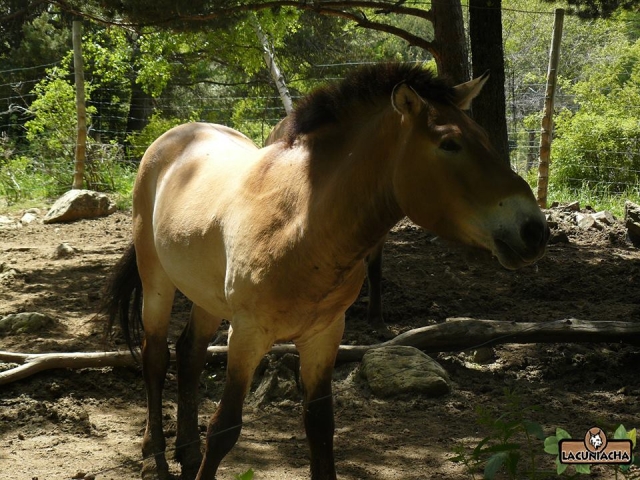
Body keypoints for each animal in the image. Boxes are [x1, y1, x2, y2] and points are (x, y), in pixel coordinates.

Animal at [103, 63, 549, 480]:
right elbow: (225, 428)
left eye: (484, 138)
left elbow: (320, 426)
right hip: (157, 280)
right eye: (450, 143)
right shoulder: (247, 335)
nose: (534, 230)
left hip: (207, 298)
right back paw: (153, 458)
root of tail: (174, 137)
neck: (302, 224)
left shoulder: (324, 336)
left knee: (189, 354)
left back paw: (188, 453)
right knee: (156, 356)